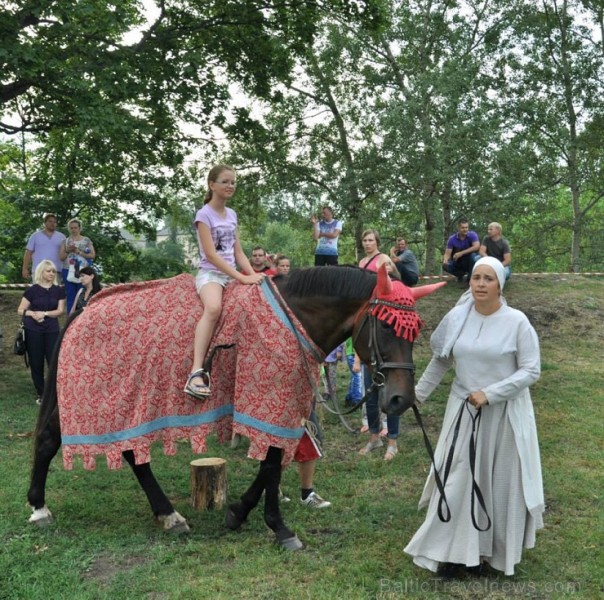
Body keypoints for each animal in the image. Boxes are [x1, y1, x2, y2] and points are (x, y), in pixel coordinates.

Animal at [27, 264, 444, 552]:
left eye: (413, 330)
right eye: (386, 326)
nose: (400, 400)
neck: (292, 319)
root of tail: (84, 311)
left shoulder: (286, 407)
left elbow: (272, 463)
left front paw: (238, 513)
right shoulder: (270, 403)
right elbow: (272, 463)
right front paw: (279, 527)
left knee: (131, 455)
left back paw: (168, 514)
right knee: (50, 441)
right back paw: (39, 508)